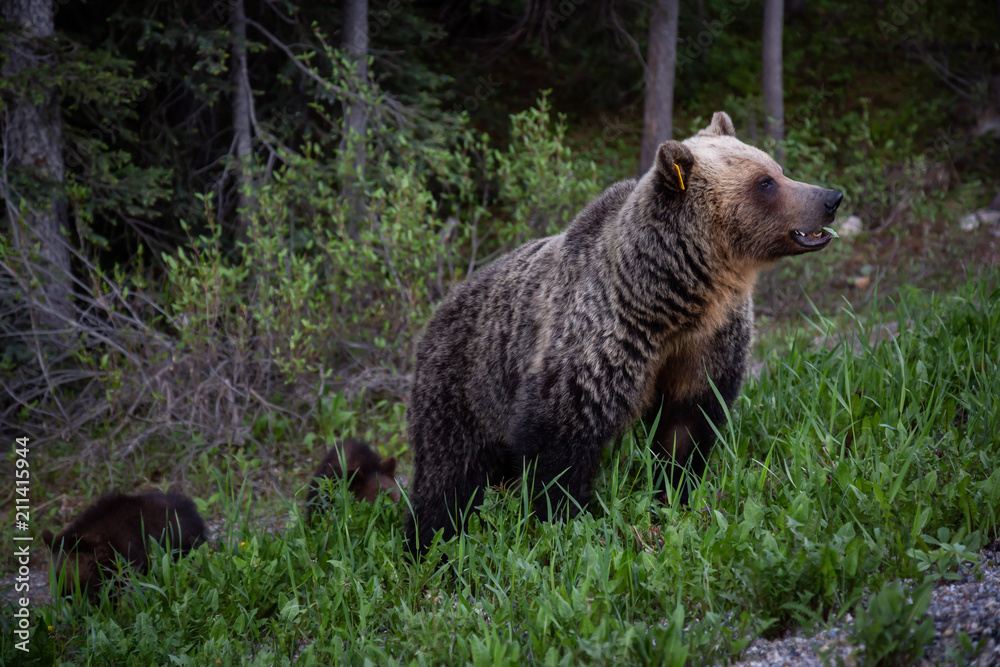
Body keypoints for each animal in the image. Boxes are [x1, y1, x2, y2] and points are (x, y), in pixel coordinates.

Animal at [404, 111, 842, 553]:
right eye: (765, 182)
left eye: (777, 169)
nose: (830, 198)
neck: (673, 301)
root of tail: (439, 310)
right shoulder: (601, 341)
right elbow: (560, 440)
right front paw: (562, 519)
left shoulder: (707, 342)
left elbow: (686, 425)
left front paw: (675, 492)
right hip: (465, 387)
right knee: (450, 475)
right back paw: (429, 542)